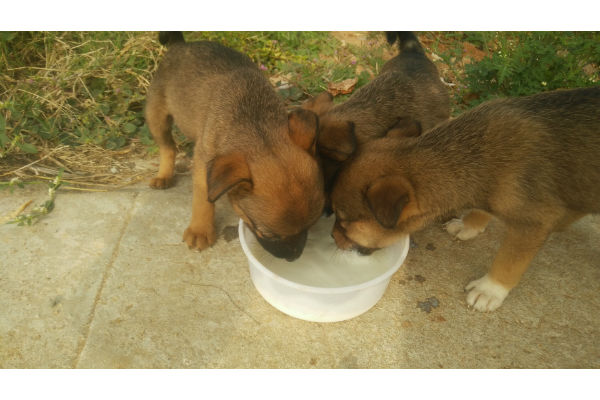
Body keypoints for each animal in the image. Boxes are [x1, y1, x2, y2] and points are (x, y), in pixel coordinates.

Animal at [145, 32, 324, 260]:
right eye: (267, 234)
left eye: (310, 226)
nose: (293, 257)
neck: (257, 127)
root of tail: (179, 44)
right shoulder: (204, 164)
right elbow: (203, 199)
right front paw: (200, 230)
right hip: (156, 115)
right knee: (167, 147)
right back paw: (164, 175)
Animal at [330, 86, 600, 312]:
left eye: (344, 222)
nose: (331, 237)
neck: (476, 157)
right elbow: (482, 211)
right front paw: (469, 225)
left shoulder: (533, 223)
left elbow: (509, 261)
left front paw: (490, 290)